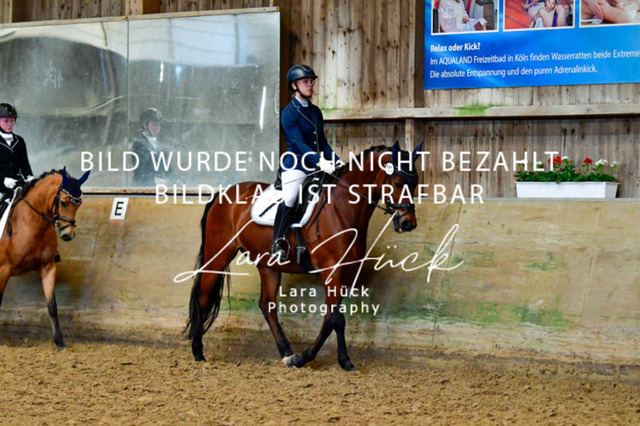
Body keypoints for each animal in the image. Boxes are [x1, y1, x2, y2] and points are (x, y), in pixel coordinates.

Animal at [0, 168, 90, 349]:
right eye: (63, 202)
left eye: (79, 204)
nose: (67, 235)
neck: (31, 224)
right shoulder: (3, 270)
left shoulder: (48, 267)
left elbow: (52, 306)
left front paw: (60, 341)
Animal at [184, 142, 421, 371]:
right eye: (398, 183)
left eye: (415, 183)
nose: (408, 223)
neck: (341, 206)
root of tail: (222, 194)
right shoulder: (331, 271)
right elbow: (334, 319)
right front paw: (306, 358)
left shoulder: (345, 272)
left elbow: (334, 318)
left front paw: (341, 361)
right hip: (218, 254)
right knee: (204, 294)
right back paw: (198, 352)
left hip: (268, 265)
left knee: (267, 305)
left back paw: (286, 353)